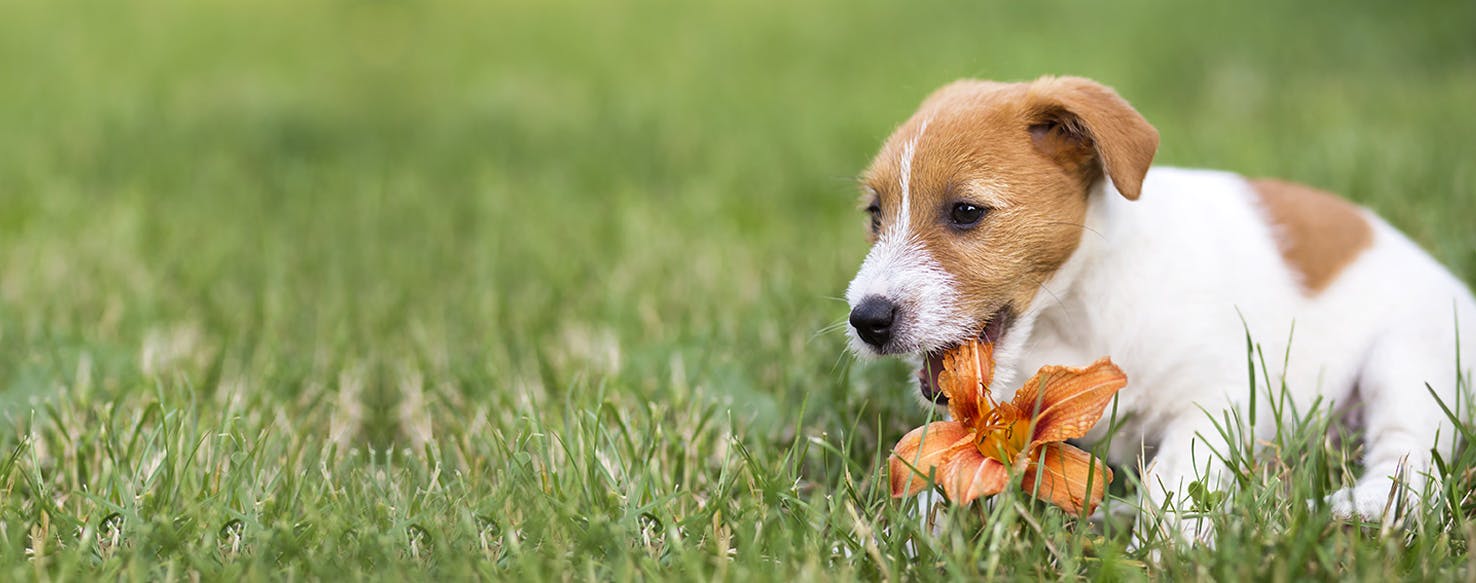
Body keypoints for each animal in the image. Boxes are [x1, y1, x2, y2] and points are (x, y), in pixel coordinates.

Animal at [850, 75, 1470, 537]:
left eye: (965, 211)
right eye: (875, 214)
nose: (866, 320)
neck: (1075, 310)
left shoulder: (1218, 398)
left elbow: (1174, 476)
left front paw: (1169, 545)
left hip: (1410, 362)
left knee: (1408, 456)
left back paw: (1361, 508)